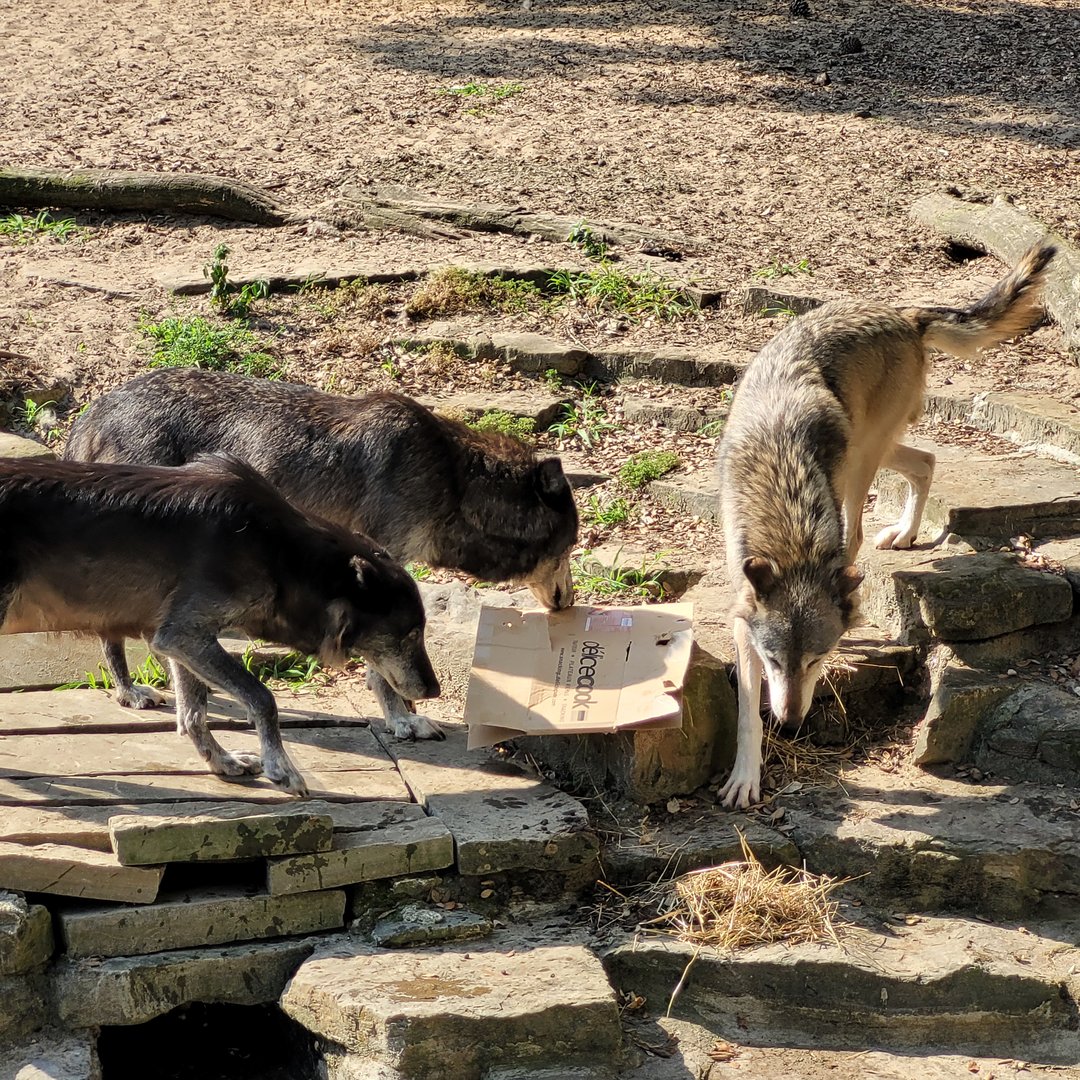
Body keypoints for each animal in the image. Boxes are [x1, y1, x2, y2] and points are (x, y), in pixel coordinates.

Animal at [0, 455, 440, 796]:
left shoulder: (179, 639)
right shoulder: (184, 635)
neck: (277, 552)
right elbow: (263, 697)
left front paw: (222, 762)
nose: (434, 691)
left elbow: (193, 715)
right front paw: (281, 768)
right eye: (410, 634)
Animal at [65, 372, 579, 741]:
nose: (570, 603)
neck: (452, 480)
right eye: (570, 547)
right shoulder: (380, 571)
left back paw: (137, 692)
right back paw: (137, 693)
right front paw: (403, 720)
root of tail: (96, 409)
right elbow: (382, 667)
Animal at [718, 242, 1056, 809]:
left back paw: (894, 542)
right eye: (775, 661)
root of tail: (903, 313)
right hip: (872, 451)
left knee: (868, 521)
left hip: (861, 461)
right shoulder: (745, 614)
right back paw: (903, 534)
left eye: (816, 659)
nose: (790, 721)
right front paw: (745, 777)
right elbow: (744, 711)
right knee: (925, 461)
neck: (789, 536)